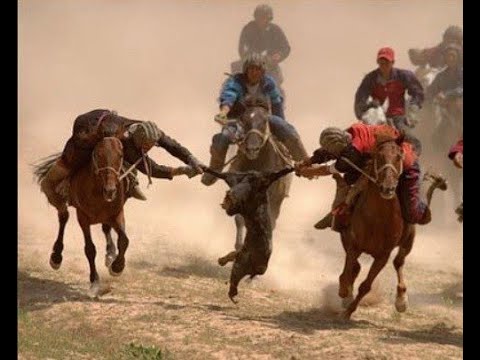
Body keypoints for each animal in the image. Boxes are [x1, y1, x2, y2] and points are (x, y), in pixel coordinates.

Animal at [33, 136, 131, 294]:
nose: (110, 190)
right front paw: (94, 281)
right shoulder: (83, 217)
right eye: (98, 155)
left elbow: (124, 240)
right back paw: (56, 257)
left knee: (105, 228)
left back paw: (110, 254)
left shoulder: (117, 214)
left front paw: (117, 267)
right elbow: (90, 249)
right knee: (63, 217)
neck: (98, 190)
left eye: (120, 155)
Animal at [217, 94, 292, 266]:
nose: (252, 148)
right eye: (244, 120)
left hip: (277, 201)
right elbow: (240, 218)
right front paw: (238, 248)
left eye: (265, 121)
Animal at [336, 134, 444, 320]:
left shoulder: (383, 255)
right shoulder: (353, 244)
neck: (377, 219)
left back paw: (401, 299)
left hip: (409, 240)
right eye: (378, 156)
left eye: (399, 156)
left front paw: (348, 311)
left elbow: (366, 285)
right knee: (356, 267)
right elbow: (348, 271)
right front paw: (345, 292)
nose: (388, 188)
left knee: (399, 261)